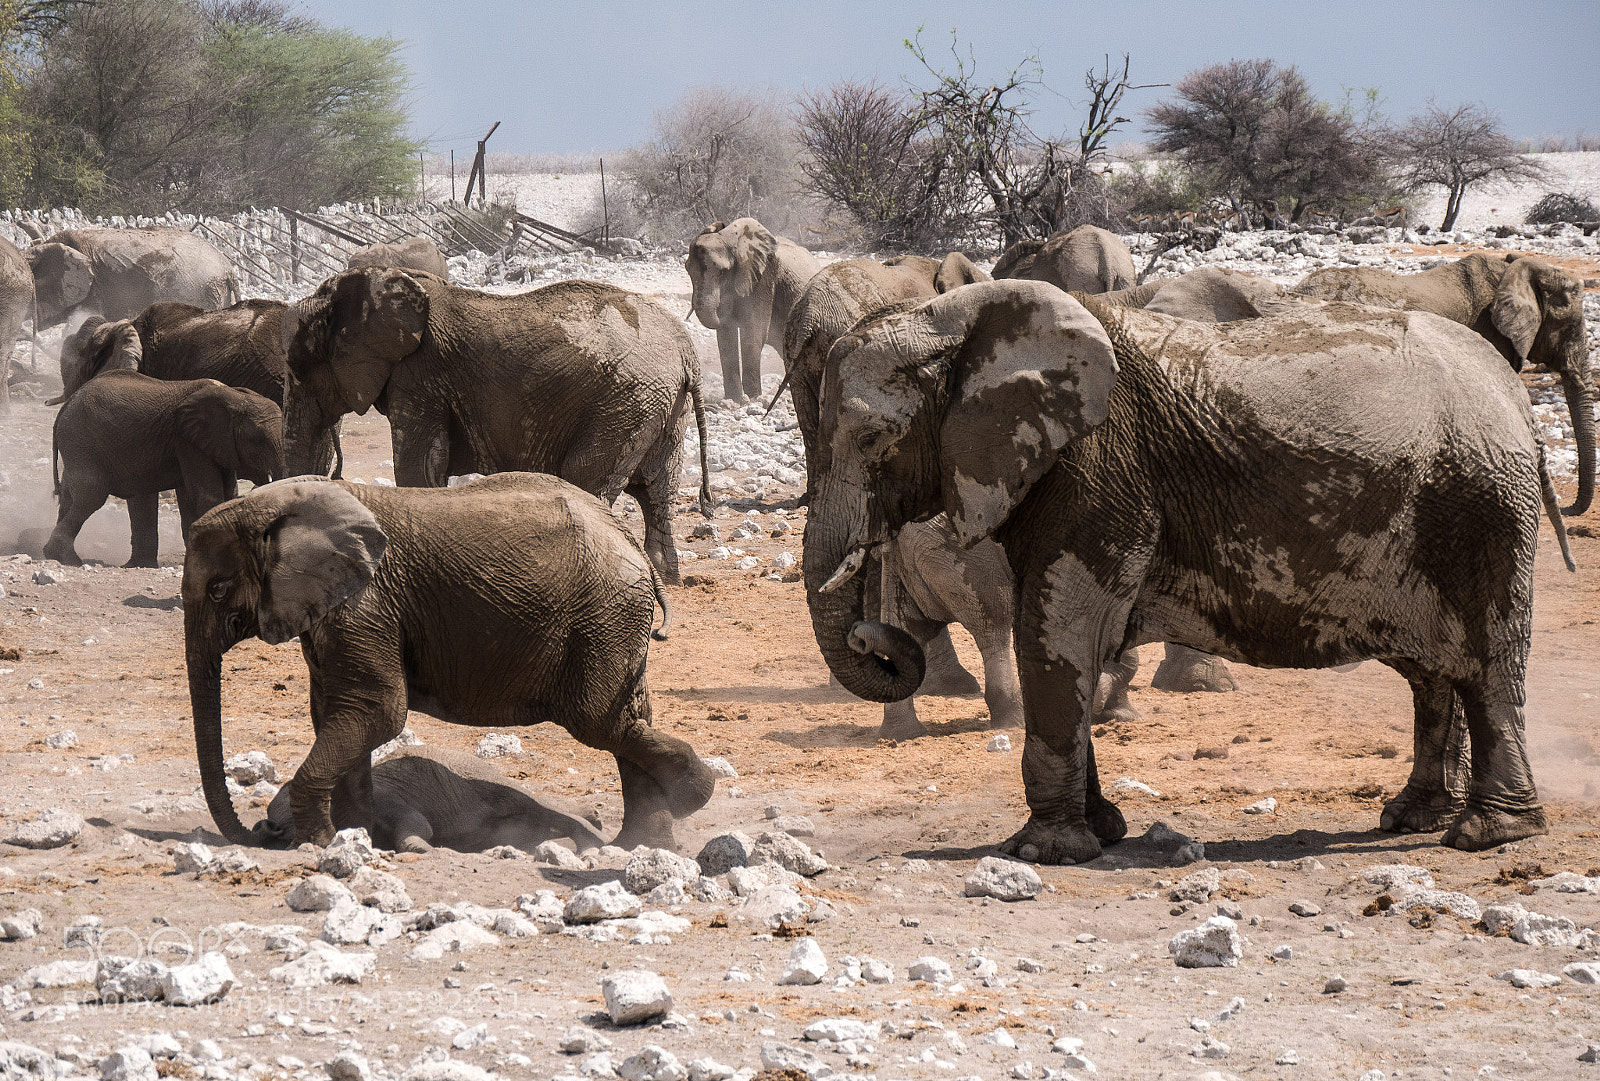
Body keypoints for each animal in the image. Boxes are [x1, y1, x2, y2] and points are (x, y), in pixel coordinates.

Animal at [46, 370, 283, 567]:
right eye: (257, 440)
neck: (234, 395)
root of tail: (66, 404)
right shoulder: (187, 440)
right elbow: (208, 496)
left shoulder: (213, 445)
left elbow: (224, 494)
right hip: (80, 440)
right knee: (91, 496)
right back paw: (70, 560)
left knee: (71, 496)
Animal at [261, 745, 606, 853]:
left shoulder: (384, 796)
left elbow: (419, 823)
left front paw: (421, 848)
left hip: (474, 772)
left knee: (530, 801)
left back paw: (594, 832)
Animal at [279, 269, 712, 584]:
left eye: (299, 370)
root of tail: (686, 349)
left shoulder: (419, 379)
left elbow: (416, 469)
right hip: (659, 407)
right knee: (656, 491)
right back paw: (666, 577)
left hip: (624, 403)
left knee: (588, 479)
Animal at [687, 218, 821, 403]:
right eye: (687, 270)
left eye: (722, 272)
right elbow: (726, 338)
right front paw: (735, 400)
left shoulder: (764, 278)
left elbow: (753, 333)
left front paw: (754, 398)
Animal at [803, 278, 1570, 864]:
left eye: (870, 438)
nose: (876, 635)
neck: (956, 319)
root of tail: (1517, 400)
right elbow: (1061, 636)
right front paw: (1104, 831)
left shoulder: (1102, 470)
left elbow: (1059, 631)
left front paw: (1043, 851)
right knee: (1434, 674)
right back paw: (1411, 817)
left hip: (1482, 509)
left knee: (1488, 665)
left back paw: (1487, 834)